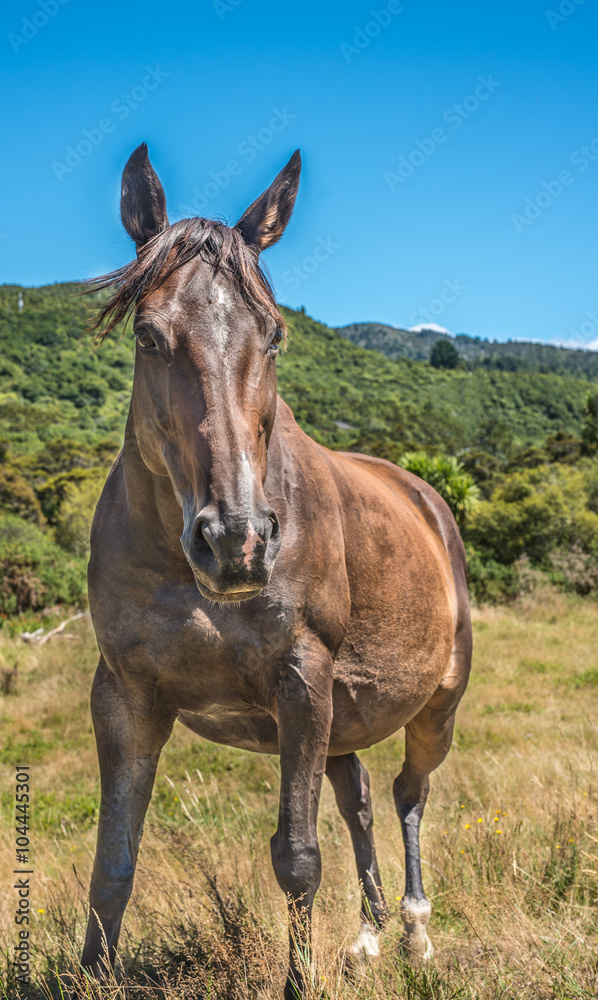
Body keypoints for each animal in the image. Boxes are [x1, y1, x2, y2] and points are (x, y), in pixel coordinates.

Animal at [81, 143, 474, 1000]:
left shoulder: (301, 681)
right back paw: (369, 936)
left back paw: (416, 934)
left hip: (436, 704)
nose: (236, 540)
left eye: (275, 335)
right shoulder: (126, 696)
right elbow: (113, 867)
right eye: (149, 336)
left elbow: (296, 858)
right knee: (360, 799)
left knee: (409, 793)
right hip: (344, 718)